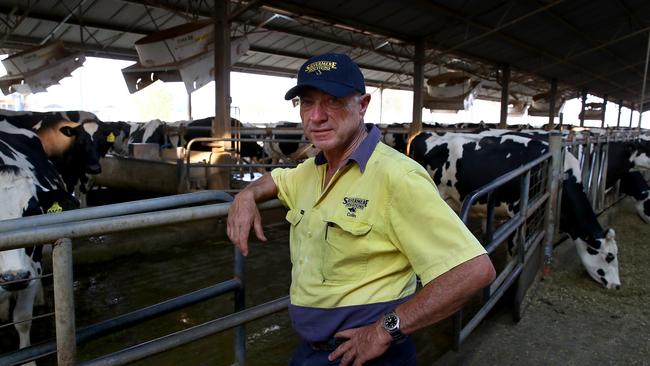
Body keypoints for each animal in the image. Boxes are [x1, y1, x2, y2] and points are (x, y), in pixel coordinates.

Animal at [408, 131, 620, 288]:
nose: (617, 285)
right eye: (609, 257)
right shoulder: (518, 211)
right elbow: (513, 249)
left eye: (615, 254)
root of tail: (424, 133)